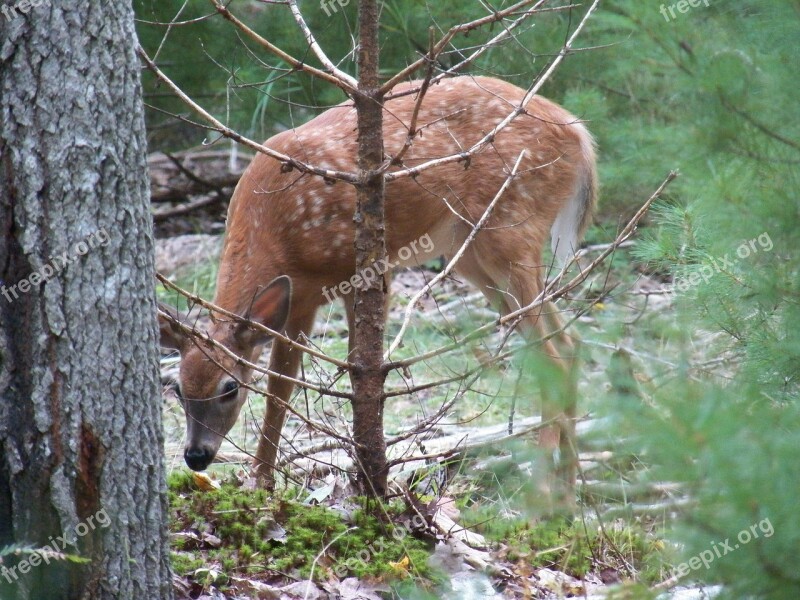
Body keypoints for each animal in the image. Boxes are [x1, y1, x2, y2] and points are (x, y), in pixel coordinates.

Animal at [158, 75, 592, 496]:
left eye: (229, 387)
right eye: (178, 388)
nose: (196, 456)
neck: (276, 235)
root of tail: (579, 133)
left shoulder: (362, 272)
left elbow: (310, 379)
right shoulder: (300, 301)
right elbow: (283, 387)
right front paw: (263, 481)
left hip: (510, 226)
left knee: (554, 354)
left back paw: (541, 492)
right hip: (470, 251)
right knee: (569, 342)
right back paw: (569, 491)